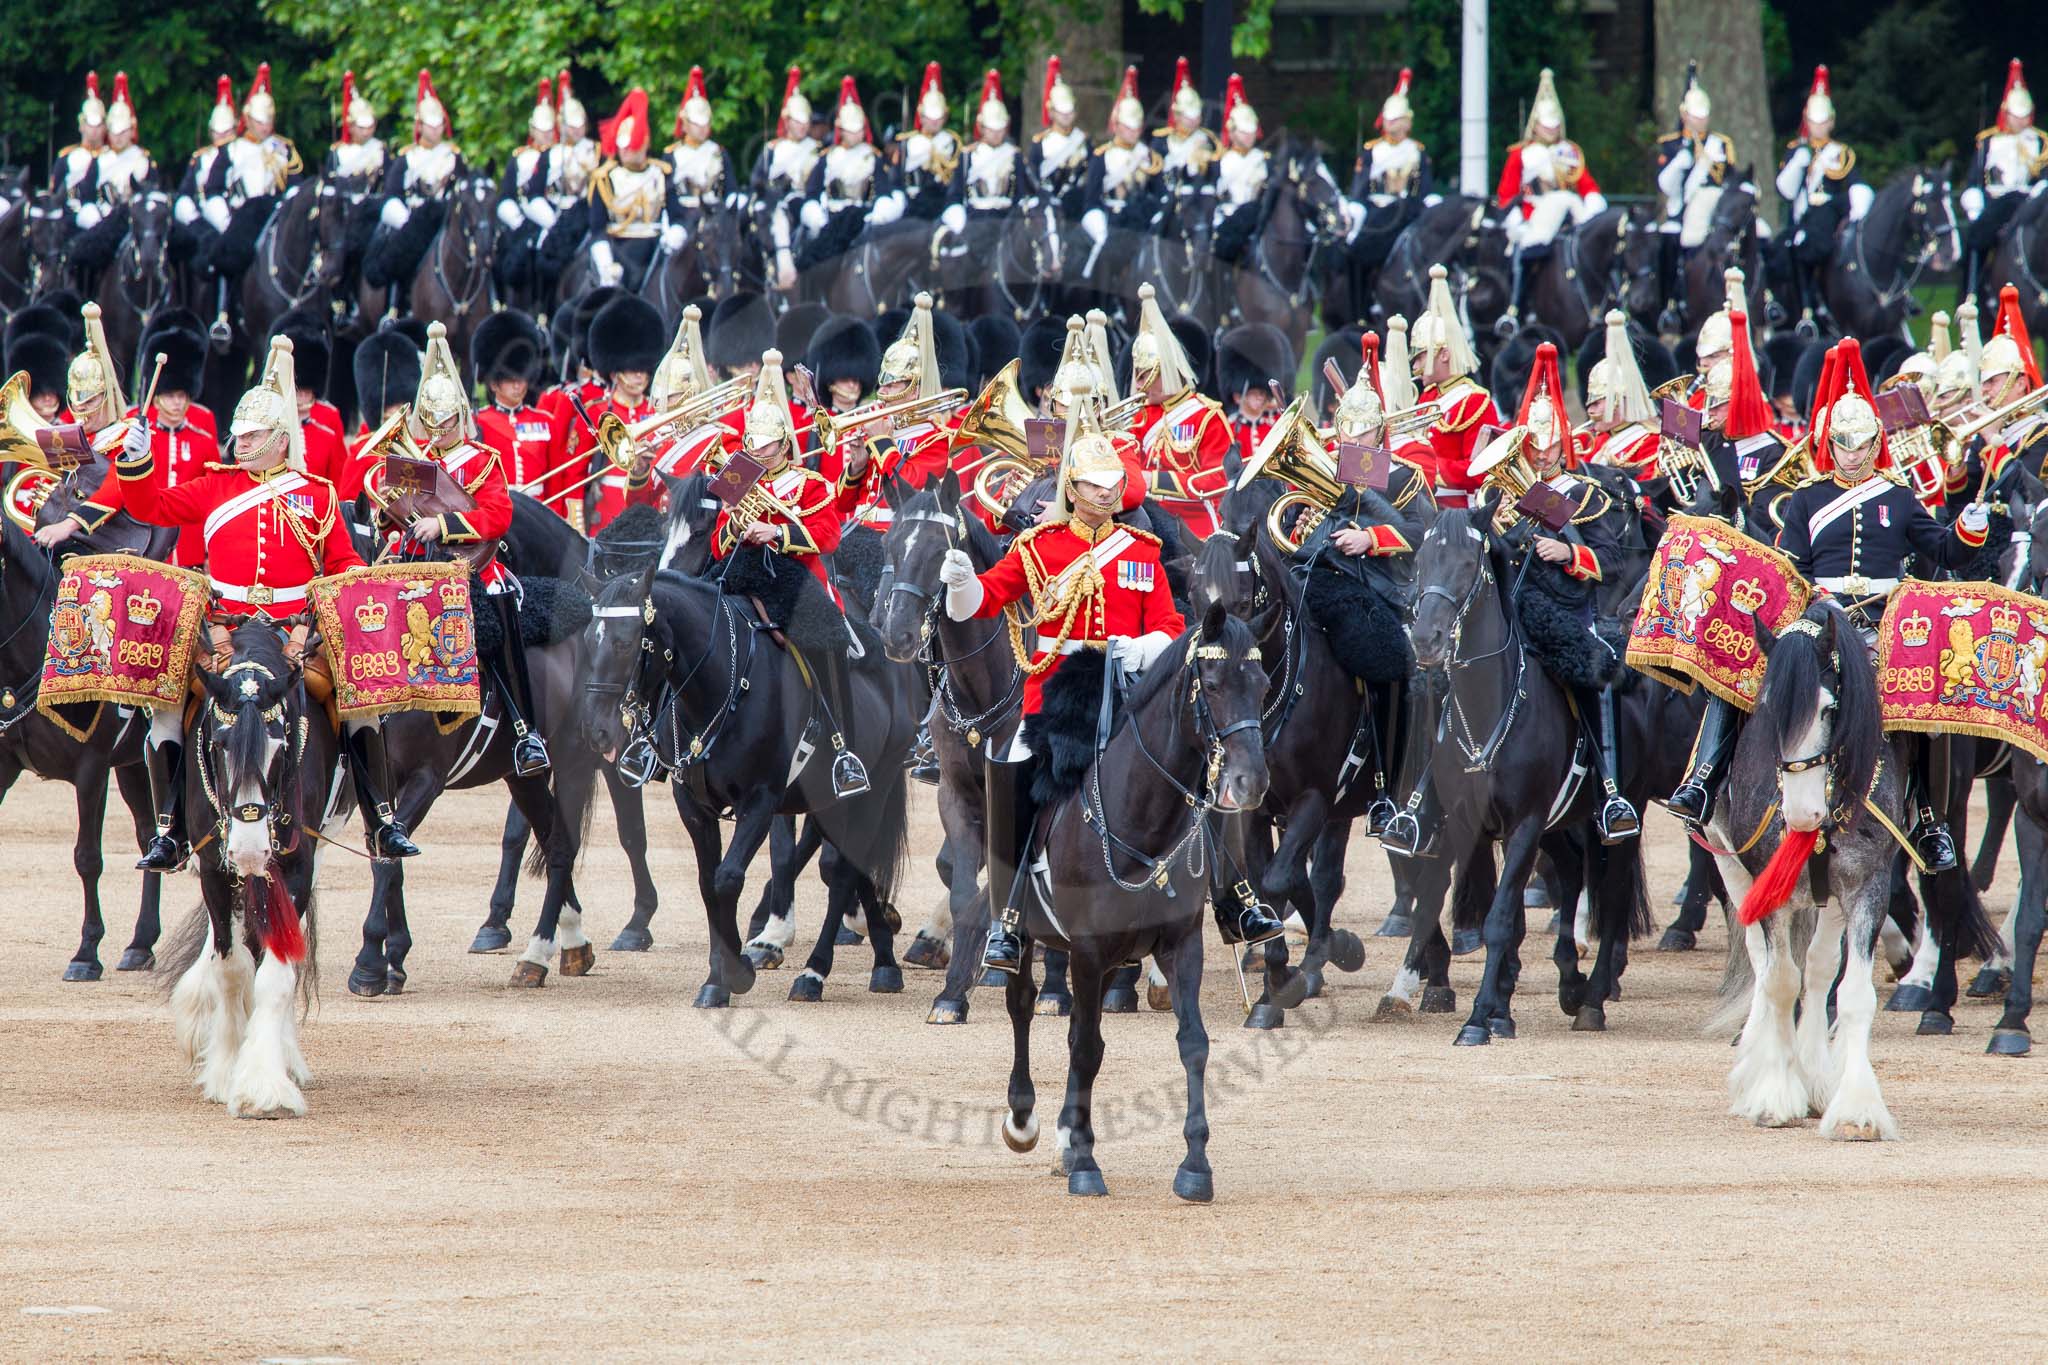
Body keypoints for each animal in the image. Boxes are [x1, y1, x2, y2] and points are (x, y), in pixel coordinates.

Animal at [159, 618, 340, 1118]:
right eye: (219, 745)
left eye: (281, 746)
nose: (249, 850)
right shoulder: (215, 871)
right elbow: (231, 968)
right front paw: (225, 1068)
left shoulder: (296, 868)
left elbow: (275, 975)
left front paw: (264, 1083)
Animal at [577, 564, 916, 1007]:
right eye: (588, 639)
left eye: (625, 642)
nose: (595, 731)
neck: (720, 685)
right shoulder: (693, 805)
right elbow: (708, 883)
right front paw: (719, 975)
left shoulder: (760, 801)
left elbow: (728, 878)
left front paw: (734, 972)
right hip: (830, 803)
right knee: (850, 868)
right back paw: (885, 963)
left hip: (873, 789)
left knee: (843, 873)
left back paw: (814, 972)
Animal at [871, 474, 1026, 1024]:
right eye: (890, 547)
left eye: (942, 552)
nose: (894, 633)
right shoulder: (956, 794)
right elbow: (961, 889)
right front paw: (955, 989)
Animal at [996, 604, 1267, 1200]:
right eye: (1213, 684)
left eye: (1262, 684)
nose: (1251, 782)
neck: (1141, 819)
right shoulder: (1087, 951)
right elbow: (1086, 1049)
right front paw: (1085, 1162)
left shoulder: (1180, 944)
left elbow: (1193, 1043)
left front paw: (1195, 1166)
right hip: (1024, 932)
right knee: (1022, 1003)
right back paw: (1025, 1121)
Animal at [1704, 601, 1999, 1135]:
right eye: (1764, 708)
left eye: (1829, 710)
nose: (1802, 815)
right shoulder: (1766, 885)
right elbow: (1780, 981)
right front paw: (1774, 1094)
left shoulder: (1867, 887)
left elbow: (1853, 992)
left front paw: (1856, 1108)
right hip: (1728, 863)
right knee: (1762, 961)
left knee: (1821, 967)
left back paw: (1817, 1074)